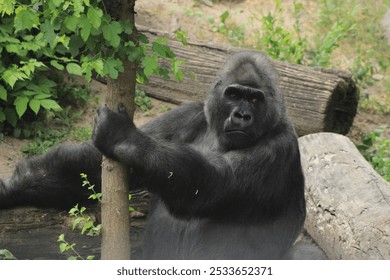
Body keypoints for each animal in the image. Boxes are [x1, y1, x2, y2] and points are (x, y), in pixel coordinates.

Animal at [0, 51, 308, 260]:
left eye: (256, 99)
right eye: (233, 94)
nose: (242, 115)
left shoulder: (280, 149)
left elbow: (215, 183)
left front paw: (124, 137)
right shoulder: (188, 114)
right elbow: (92, 165)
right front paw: (11, 188)